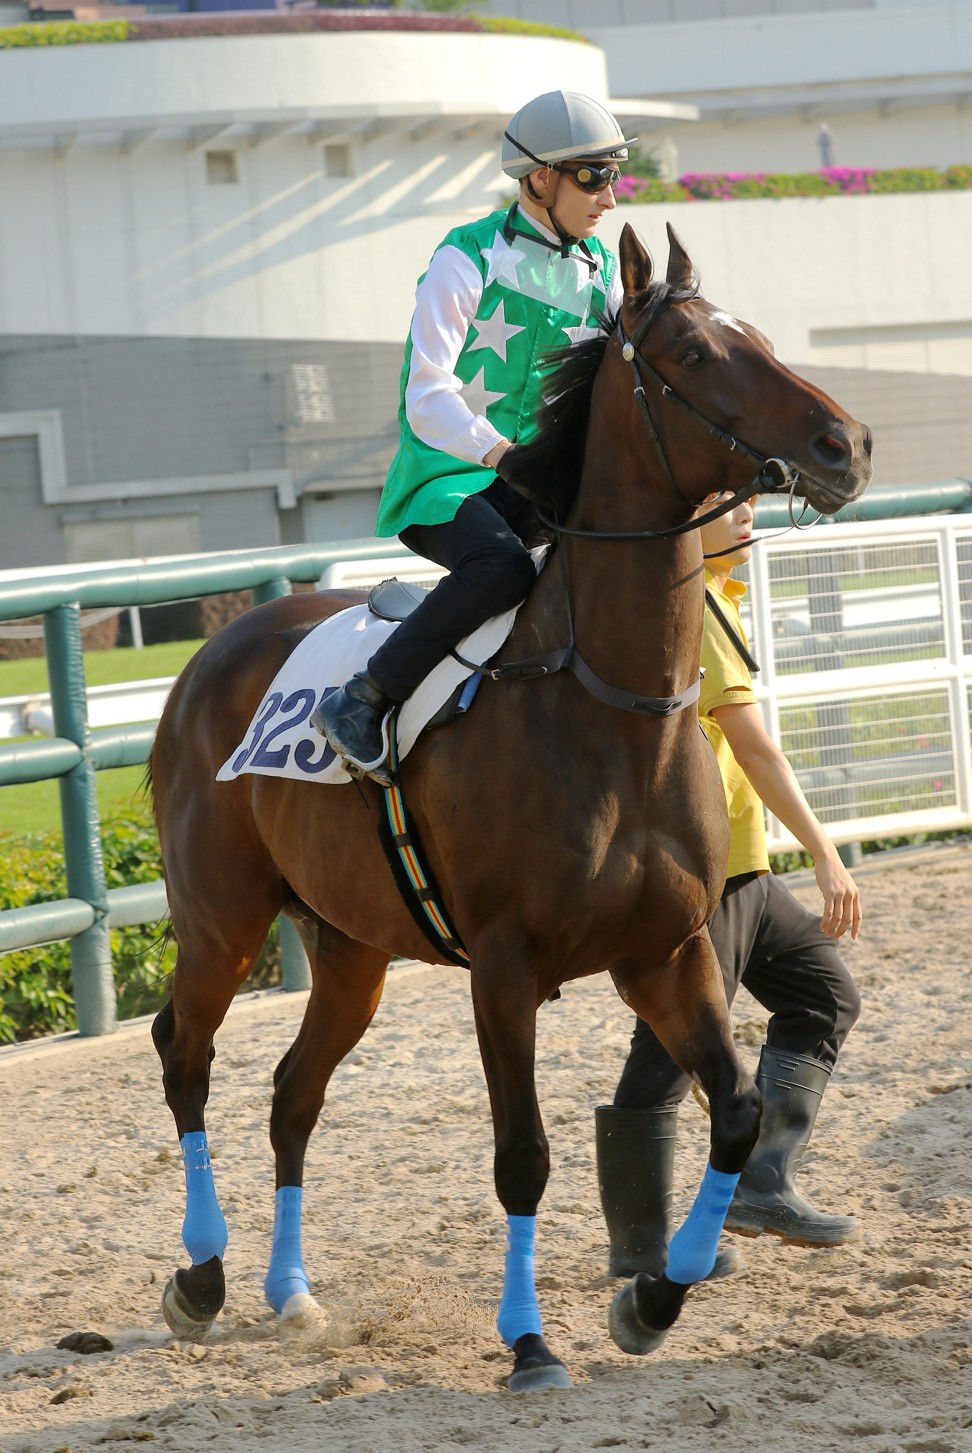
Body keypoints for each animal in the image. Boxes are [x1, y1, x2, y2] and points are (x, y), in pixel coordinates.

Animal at [151, 223, 871, 1383]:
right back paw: (204, 1275)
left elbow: (736, 1109)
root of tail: (212, 652)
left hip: (352, 947)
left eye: (757, 332)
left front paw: (653, 1301)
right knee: (186, 1053)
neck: (603, 708)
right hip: (223, 920)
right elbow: (523, 1155)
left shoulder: (665, 950)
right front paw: (529, 1340)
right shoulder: (504, 966)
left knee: (293, 1091)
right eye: (698, 354)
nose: (845, 443)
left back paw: (291, 1291)